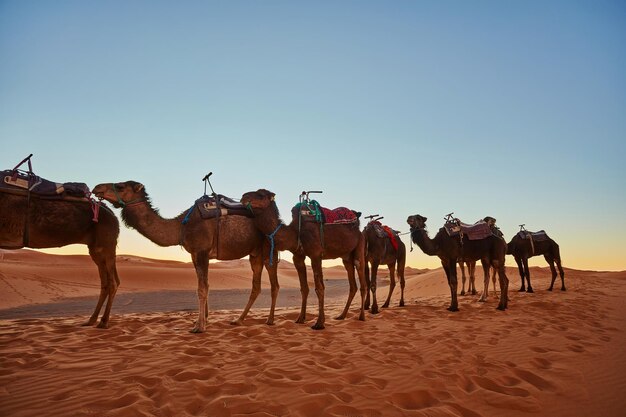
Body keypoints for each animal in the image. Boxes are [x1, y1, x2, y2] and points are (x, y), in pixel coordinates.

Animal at [0, 179, 120, 328]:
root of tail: (114, 217)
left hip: (106, 244)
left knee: (112, 282)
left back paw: (103, 322)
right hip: (96, 249)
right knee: (106, 282)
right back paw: (91, 320)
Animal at [91, 180, 276, 332]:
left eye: (121, 186)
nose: (97, 188)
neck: (180, 226)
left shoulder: (201, 251)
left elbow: (202, 288)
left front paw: (199, 327)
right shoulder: (195, 254)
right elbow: (204, 286)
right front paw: (202, 321)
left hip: (269, 248)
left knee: (274, 284)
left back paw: (270, 320)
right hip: (255, 253)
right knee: (256, 286)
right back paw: (238, 320)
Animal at [239, 188, 366, 328]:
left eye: (261, 195)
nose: (243, 196)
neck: (295, 233)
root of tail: (358, 225)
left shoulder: (316, 254)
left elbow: (319, 287)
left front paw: (319, 323)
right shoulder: (298, 256)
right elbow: (304, 288)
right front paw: (300, 318)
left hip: (360, 246)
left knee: (362, 281)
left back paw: (362, 316)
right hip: (346, 257)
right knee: (353, 285)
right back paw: (341, 316)